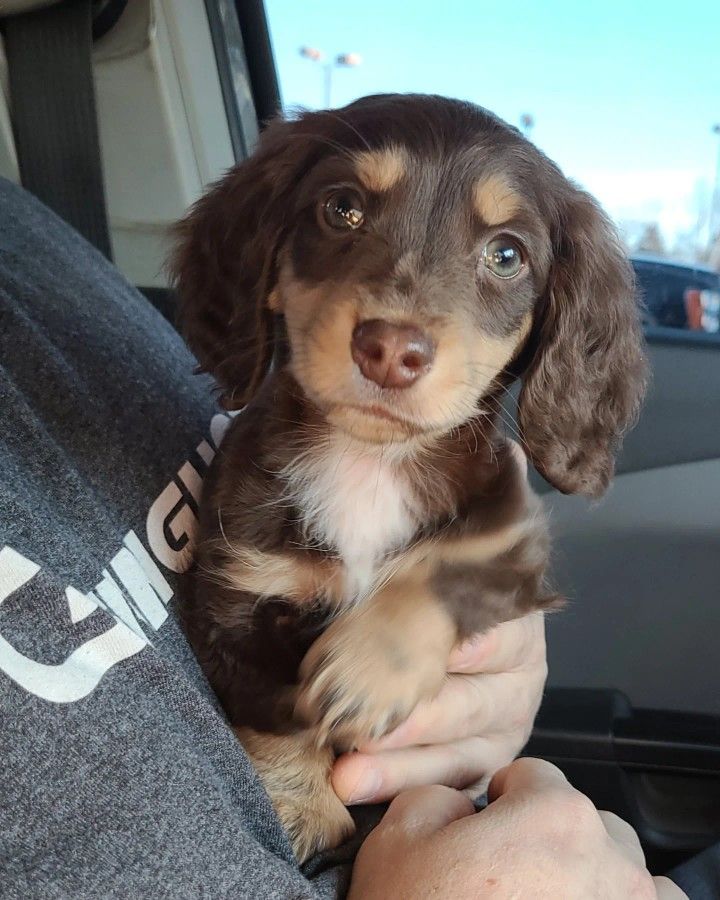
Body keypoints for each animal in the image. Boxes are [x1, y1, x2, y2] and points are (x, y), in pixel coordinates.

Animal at [173, 95, 648, 860]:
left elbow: (448, 565)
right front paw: (300, 804)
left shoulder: (513, 540)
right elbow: (272, 708)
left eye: (507, 254)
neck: (369, 462)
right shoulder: (235, 590)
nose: (391, 350)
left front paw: (367, 668)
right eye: (341, 208)